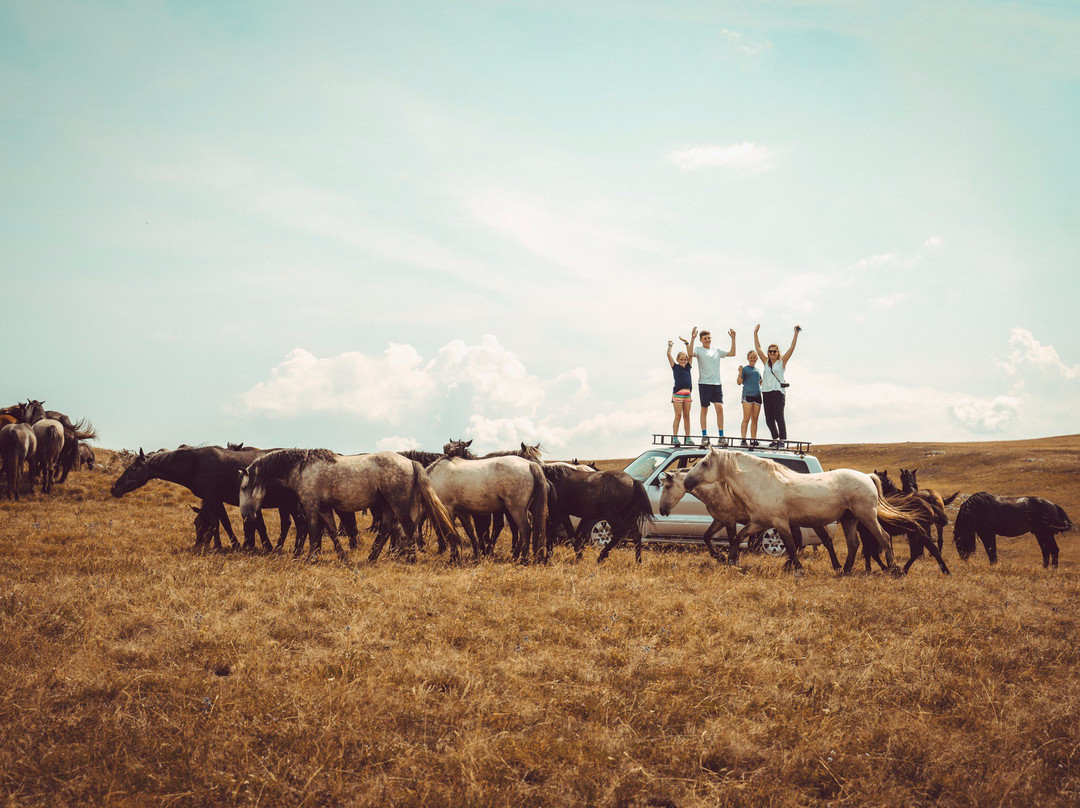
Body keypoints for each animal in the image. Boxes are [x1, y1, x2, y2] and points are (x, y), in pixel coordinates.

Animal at [236, 447, 460, 561]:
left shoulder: (311, 506)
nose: (246, 515)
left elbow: (314, 531)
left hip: (398, 504)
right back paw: (371, 557)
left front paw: (310, 557)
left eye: (244, 487)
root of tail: (410, 462)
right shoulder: (324, 509)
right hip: (387, 506)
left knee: (408, 528)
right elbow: (332, 531)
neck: (302, 468)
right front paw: (342, 556)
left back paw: (410, 558)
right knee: (387, 529)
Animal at [656, 466, 842, 566]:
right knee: (799, 542)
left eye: (667, 486)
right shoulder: (719, 520)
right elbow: (707, 536)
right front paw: (720, 557)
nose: (662, 509)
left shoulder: (729, 520)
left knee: (821, 541)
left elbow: (733, 539)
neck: (716, 489)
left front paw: (731, 560)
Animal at [686, 447, 924, 574]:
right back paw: (845, 571)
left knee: (883, 538)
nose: (687, 481)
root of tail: (866, 477)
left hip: (867, 516)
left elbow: (791, 546)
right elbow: (737, 538)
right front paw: (730, 560)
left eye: (704, 463)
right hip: (849, 520)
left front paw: (797, 568)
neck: (762, 482)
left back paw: (894, 570)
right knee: (853, 544)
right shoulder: (760, 522)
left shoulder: (779, 522)